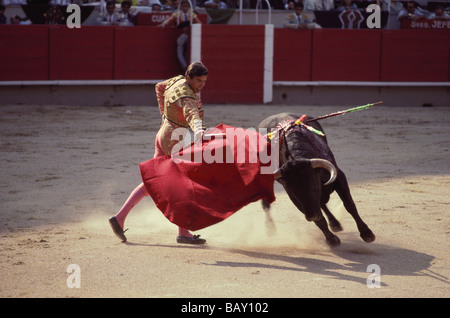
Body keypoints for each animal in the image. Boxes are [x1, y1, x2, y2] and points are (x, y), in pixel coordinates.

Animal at [256, 113, 376, 247]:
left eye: (314, 185)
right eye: (294, 192)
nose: (312, 215)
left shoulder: (339, 177)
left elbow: (349, 205)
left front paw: (367, 234)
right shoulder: (295, 199)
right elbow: (320, 220)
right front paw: (331, 239)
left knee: (322, 204)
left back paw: (335, 223)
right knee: (267, 205)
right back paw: (270, 229)